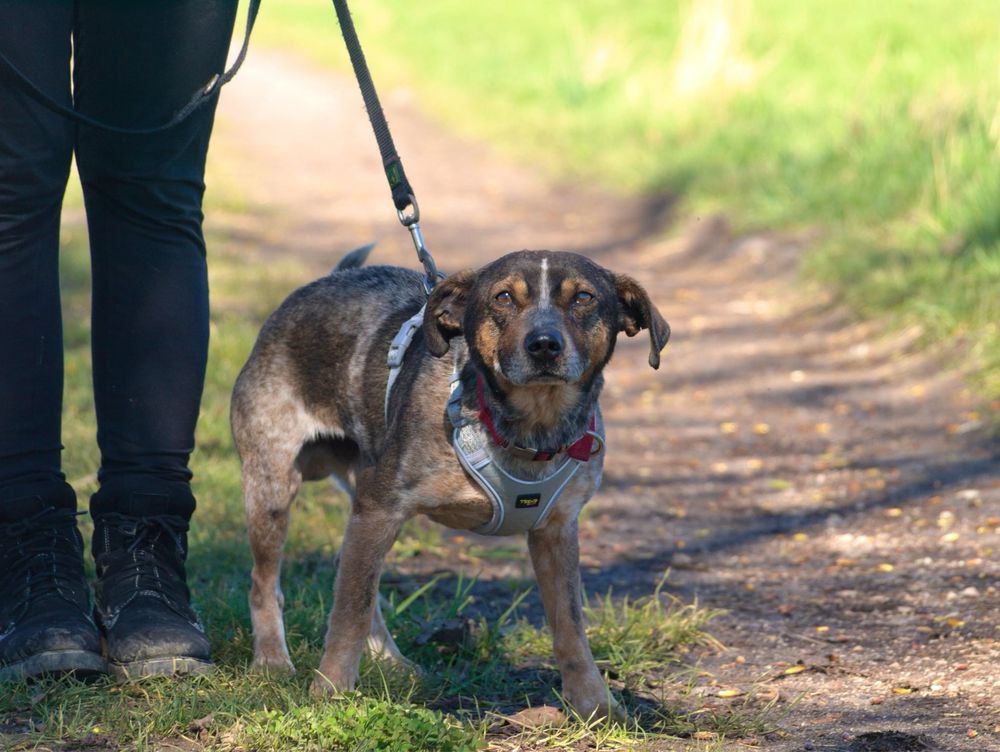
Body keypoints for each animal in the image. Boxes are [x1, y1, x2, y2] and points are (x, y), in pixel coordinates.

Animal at [232, 250, 672, 720]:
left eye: (584, 298)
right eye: (503, 297)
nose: (544, 345)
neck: (529, 430)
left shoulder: (556, 531)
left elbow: (571, 628)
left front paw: (596, 706)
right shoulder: (379, 508)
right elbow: (349, 614)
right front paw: (329, 695)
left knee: (354, 578)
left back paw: (392, 663)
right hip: (273, 486)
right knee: (266, 583)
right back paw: (272, 662)